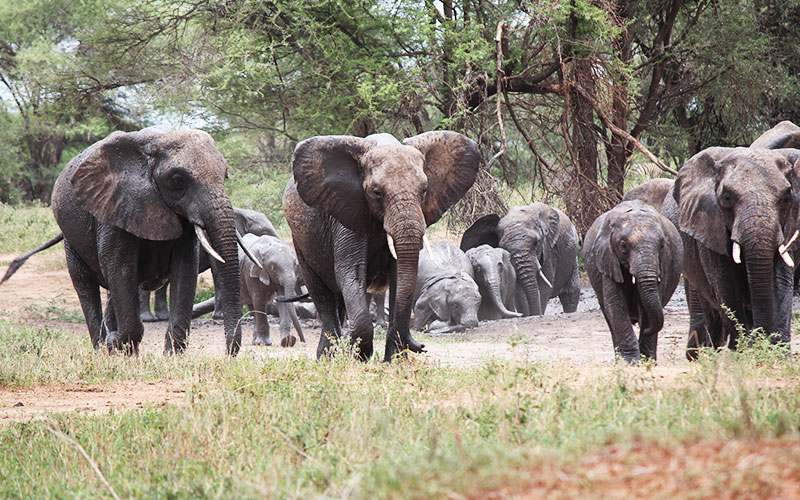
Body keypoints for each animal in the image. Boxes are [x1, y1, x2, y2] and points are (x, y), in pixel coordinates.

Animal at [49, 129, 241, 356]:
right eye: (178, 180)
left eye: (225, 175)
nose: (230, 354)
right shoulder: (113, 208)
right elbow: (121, 268)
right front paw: (115, 344)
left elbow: (185, 270)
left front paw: (173, 356)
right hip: (71, 236)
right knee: (85, 283)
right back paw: (103, 348)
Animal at [284, 131, 478, 362]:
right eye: (376, 192)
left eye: (424, 190)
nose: (420, 345)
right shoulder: (346, 212)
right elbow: (350, 272)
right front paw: (359, 353)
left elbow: (400, 275)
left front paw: (395, 360)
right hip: (300, 243)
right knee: (321, 293)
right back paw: (329, 359)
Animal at [580, 200, 680, 364]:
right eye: (623, 245)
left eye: (662, 245)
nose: (646, 330)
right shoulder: (607, 258)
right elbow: (615, 303)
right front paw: (630, 362)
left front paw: (647, 361)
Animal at [664, 146, 800, 358]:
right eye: (727, 198)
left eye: (786, 198)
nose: (760, 342)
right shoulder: (710, 226)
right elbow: (726, 284)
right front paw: (742, 353)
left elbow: (780, 282)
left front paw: (777, 355)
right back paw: (707, 353)